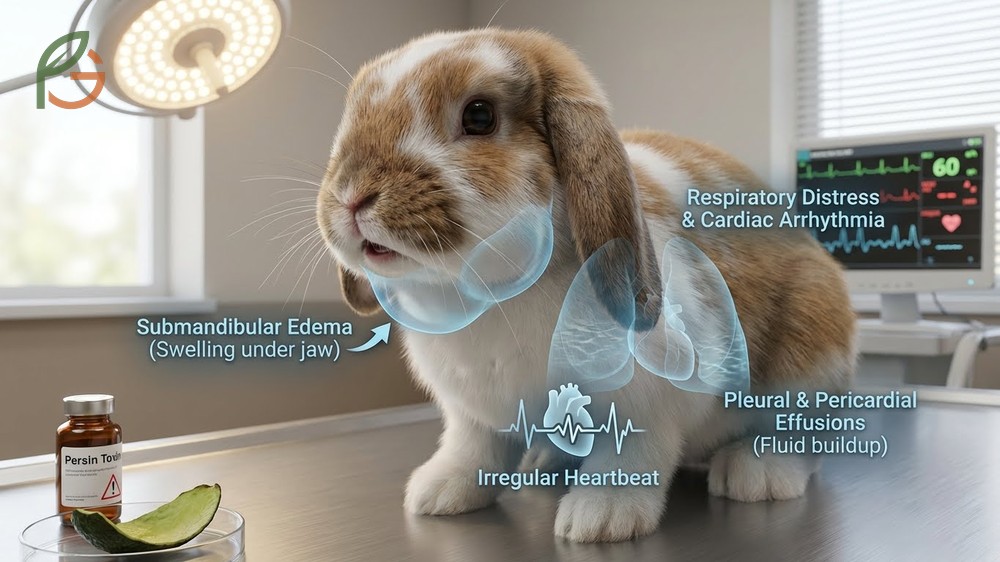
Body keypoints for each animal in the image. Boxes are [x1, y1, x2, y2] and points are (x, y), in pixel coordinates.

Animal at [316, 28, 856, 543]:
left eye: (479, 116)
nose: (352, 196)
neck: (489, 293)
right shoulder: (472, 414)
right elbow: (473, 450)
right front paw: (437, 492)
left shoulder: (648, 405)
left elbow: (630, 455)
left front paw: (600, 518)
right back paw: (545, 463)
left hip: (808, 365)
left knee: (803, 440)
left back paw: (756, 474)